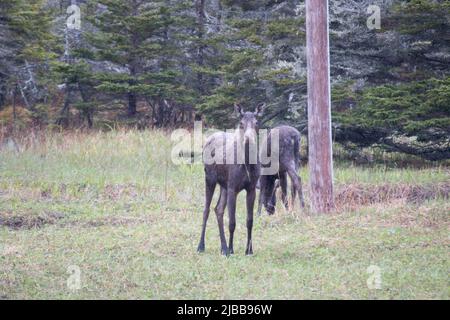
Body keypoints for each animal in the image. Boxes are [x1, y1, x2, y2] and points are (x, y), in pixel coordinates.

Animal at [197, 104, 264, 256]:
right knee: (206, 210)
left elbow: (250, 221)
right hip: (210, 179)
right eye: (241, 123)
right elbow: (232, 222)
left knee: (218, 209)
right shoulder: (233, 188)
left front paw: (249, 250)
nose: (248, 139)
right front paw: (232, 249)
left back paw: (223, 247)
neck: (247, 164)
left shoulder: (251, 188)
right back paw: (201, 246)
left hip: (224, 186)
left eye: (257, 123)